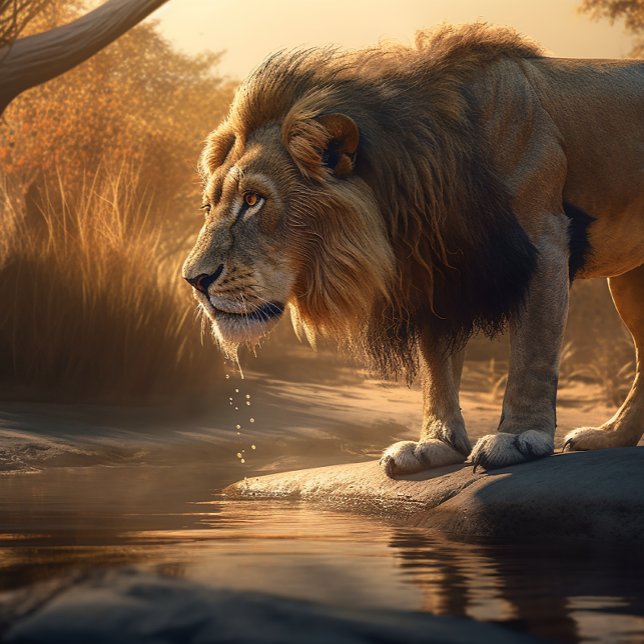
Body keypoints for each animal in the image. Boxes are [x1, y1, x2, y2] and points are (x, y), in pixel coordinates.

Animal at [183, 24, 644, 475]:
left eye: (254, 200)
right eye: (208, 207)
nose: (194, 280)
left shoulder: (544, 241)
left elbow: (532, 352)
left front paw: (518, 437)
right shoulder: (434, 268)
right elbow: (436, 366)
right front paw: (435, 446)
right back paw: (608, 437)